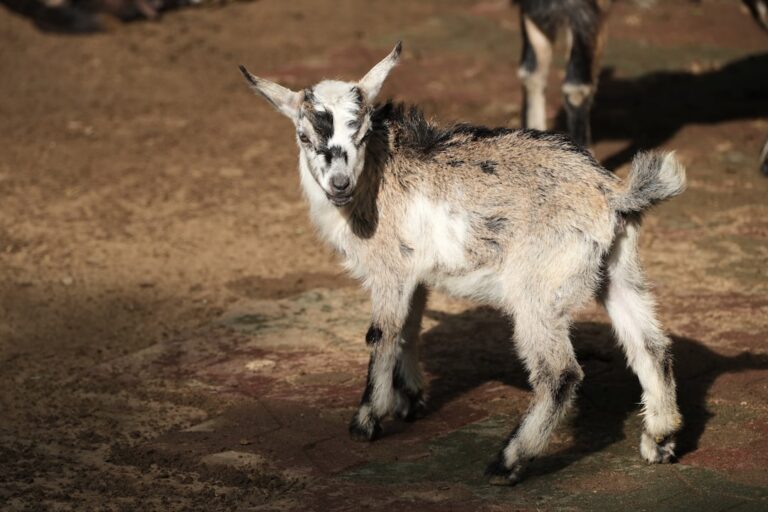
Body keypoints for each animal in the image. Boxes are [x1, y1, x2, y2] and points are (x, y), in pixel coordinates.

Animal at [239, 43, 686, 485]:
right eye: (303, 136)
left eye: (361, 134)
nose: (339, 184)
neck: (378, 173)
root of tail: (611, 193)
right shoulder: (416, 273)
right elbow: (409, 329)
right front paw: (411, 401)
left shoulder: (389, 270)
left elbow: (382, 333)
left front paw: (367, 421)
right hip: (618, 270)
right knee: (651, 346)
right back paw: (660, 440)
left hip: (538, 290)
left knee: (559, 374)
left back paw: (507, 460)